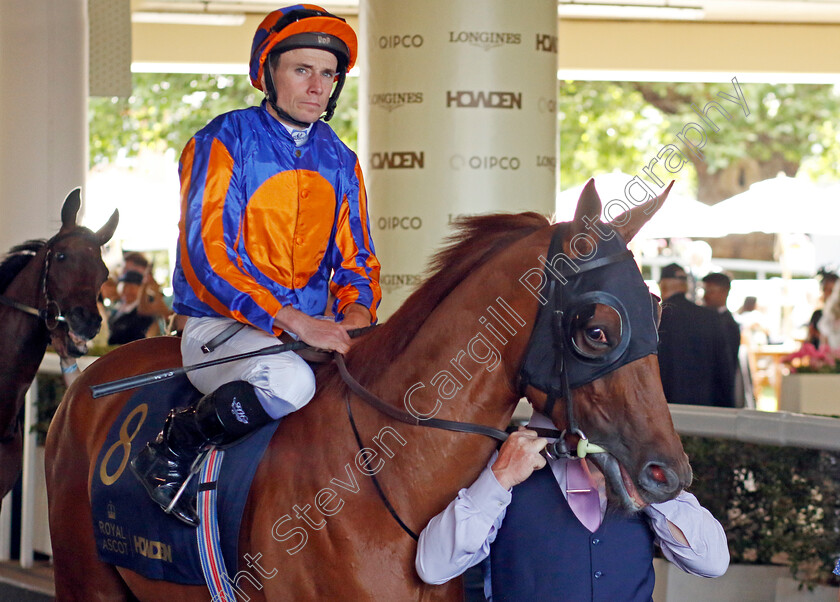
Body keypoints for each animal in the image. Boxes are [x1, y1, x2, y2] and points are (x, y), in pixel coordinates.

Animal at [47, 180, 688, 596]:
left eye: (657, 312)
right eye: (598, 330)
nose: (670, 473)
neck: (384, 488)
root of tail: (85, 382)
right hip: (86, 579)